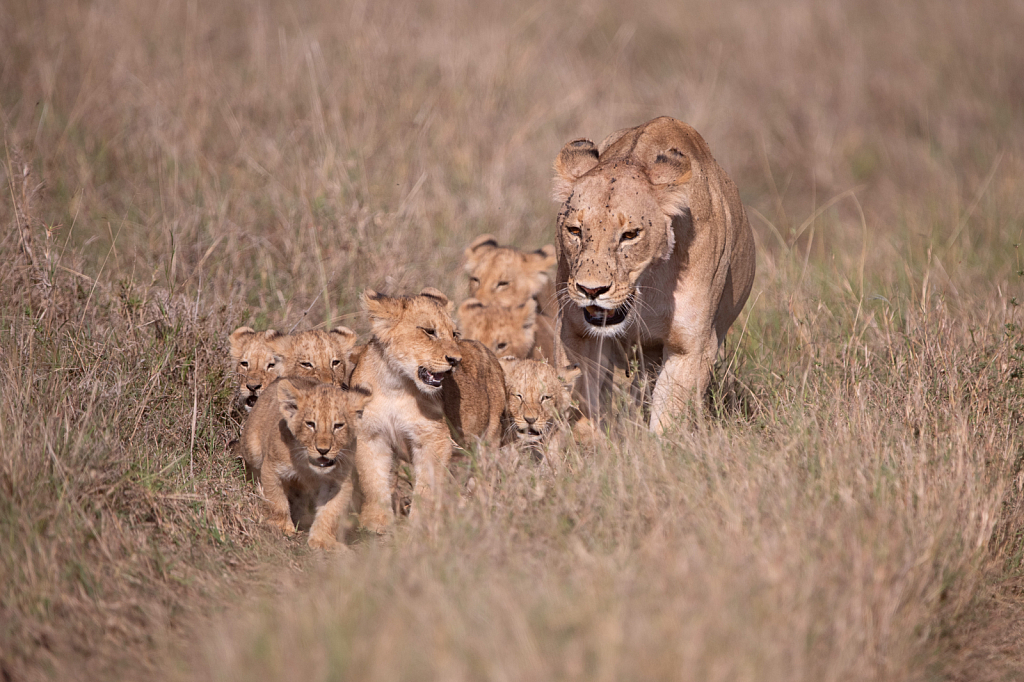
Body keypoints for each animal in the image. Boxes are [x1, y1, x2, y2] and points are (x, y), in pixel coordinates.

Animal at [552, 113, 753, 428]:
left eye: (630, 235)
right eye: (575, 231)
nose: (591, 290)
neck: (645, 289)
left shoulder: (690, 347)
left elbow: (669, 418)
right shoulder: (575, 334)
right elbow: (583, 407)